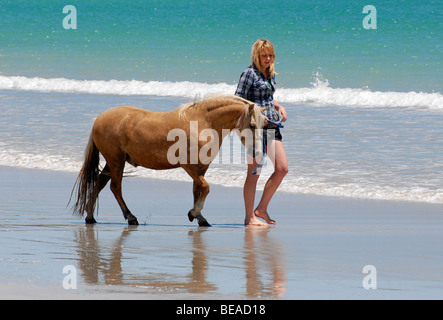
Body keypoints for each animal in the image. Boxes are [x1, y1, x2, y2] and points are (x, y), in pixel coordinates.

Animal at [70, 94, 264, 226]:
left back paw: (90, 216)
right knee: (115, 188)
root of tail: (99, 119)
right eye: (252, 125)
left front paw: (199, 217)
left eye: (264, 124)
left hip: (112, 163)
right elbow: (206, 188)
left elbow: (198, 190)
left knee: (98, 184)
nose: (256, 151)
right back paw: (130, 217)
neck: (202, 122)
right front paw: (194, 213)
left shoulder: (201, 168)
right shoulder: (189, 166)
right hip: (116, 161)